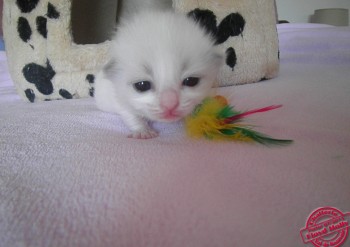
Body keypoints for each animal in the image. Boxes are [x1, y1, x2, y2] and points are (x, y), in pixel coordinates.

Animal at [94, 10, 223, 139]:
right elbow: (132, 116)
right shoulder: (121, 101)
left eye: (191, 81)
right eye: (142, 85)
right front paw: (143, 131)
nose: (170, 105)